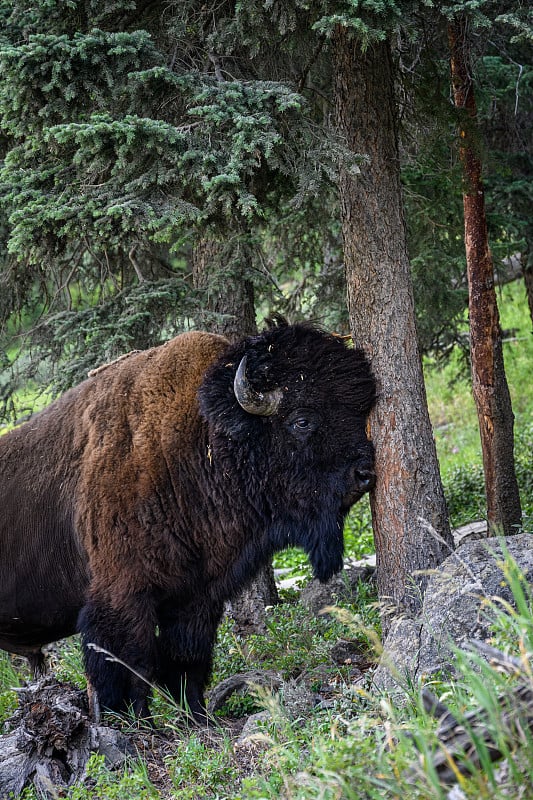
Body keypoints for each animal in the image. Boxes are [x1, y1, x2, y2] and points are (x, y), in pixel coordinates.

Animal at [0, 318, 374, 720]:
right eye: (302, 420)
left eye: (360, 411)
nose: (365, 473)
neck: (201, 438)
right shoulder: (124, 594)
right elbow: (129, 662)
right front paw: (132, 720)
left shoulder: (197, 596)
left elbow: (187, 656)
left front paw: (196, 714)